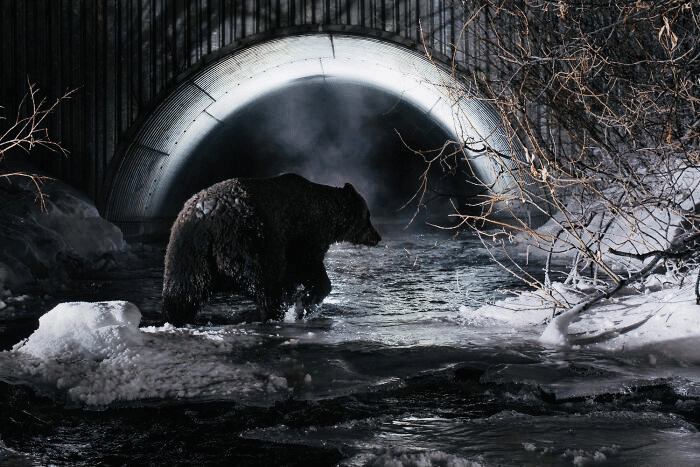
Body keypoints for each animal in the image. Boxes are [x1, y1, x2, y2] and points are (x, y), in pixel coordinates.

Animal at [163, 173, 382, 326]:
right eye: (368, 216)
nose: (377, 237)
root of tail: (208, 219)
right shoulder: (303, 235)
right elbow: (308, 267)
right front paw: (305, 302)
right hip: (250, 241)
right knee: (264, 281)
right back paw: (273, 312)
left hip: (186, 251)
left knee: (183, 290)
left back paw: (177, 316)